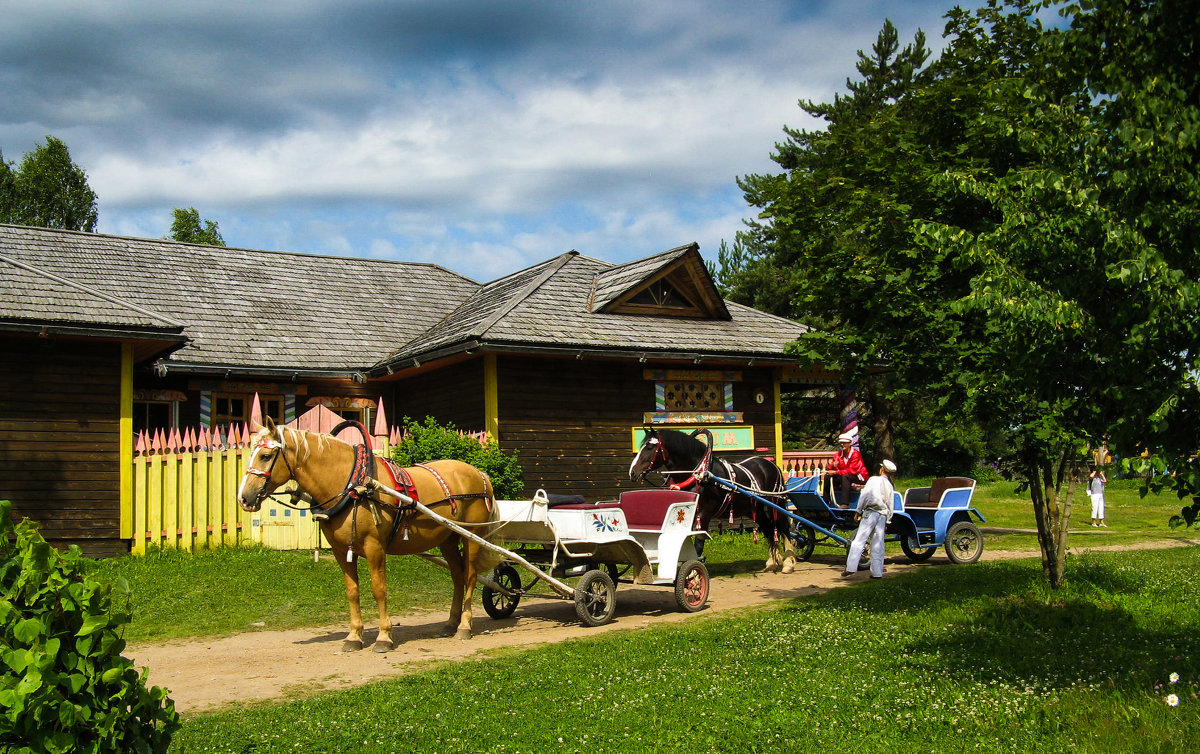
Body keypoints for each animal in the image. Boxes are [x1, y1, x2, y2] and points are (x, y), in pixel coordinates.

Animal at [236, 415, 499, 653]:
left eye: (265, 456)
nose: (244, 498)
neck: (354, 485)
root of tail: (480, 474)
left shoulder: (375, 548)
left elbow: (378, 589)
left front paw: (384, 637)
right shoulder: (341, 551)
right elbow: (352, 592)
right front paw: (354, 636)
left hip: (471, 537)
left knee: (470, 576)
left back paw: (465, 625)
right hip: (447, 539)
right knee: (457, 576)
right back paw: (452, 622)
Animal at [628, 427, 796, 573]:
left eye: (650, 447)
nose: (632, 472)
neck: (698, 473)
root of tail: (771, 465)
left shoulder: (703, 514)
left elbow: (698, 543)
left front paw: (693, 571)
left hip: (776, 503)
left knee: (783, 528)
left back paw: (788, 563)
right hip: (756, 509)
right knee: (769, 529)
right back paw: (772, 562)